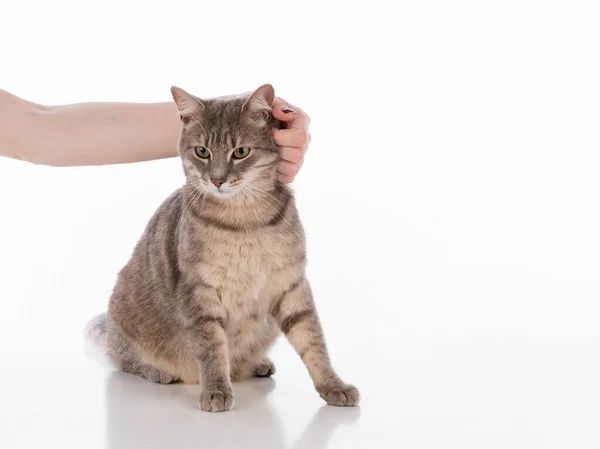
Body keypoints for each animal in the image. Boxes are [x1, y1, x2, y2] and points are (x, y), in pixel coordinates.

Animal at [88, 83, 360, 410]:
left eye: (240, 152)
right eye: (202, 151)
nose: (217, 180)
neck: (243, 221)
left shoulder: (291, 283)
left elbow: (312, 339)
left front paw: (333, 384)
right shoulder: (199, 291)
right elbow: (211, 346)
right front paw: (216, 389)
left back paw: (256, 364)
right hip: (124, 314)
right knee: (121, 358)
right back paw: (159, 371)